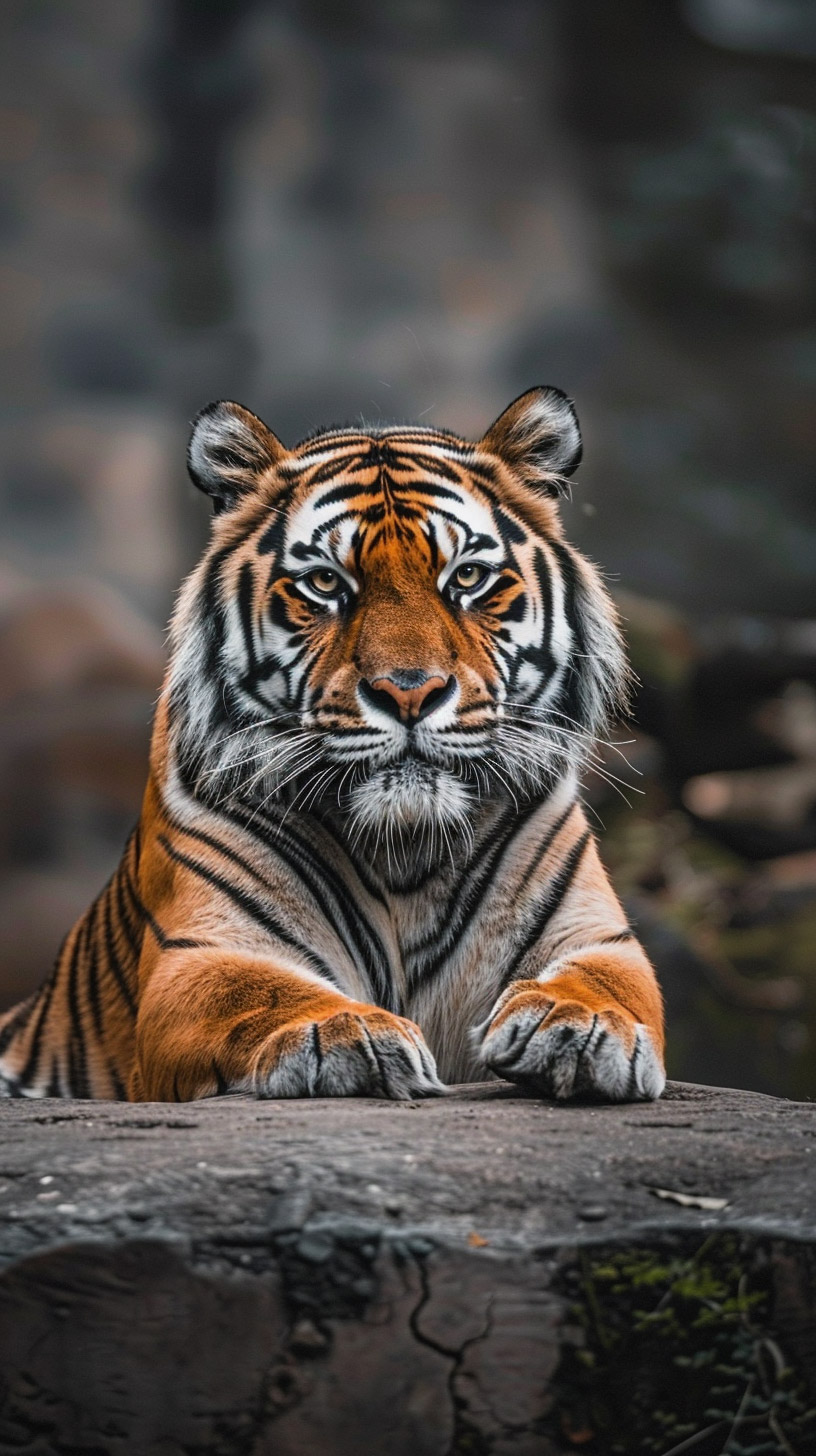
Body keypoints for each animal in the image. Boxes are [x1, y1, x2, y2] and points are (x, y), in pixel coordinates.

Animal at [0, 387, 665, 1103]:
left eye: (467, 577)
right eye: (324, 584)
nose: (409, 691)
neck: (405, 856)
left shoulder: (597, 934)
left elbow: (606, 981)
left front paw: (579, 1025)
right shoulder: (203, 952)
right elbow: (259, 991)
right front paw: (346, 1033)